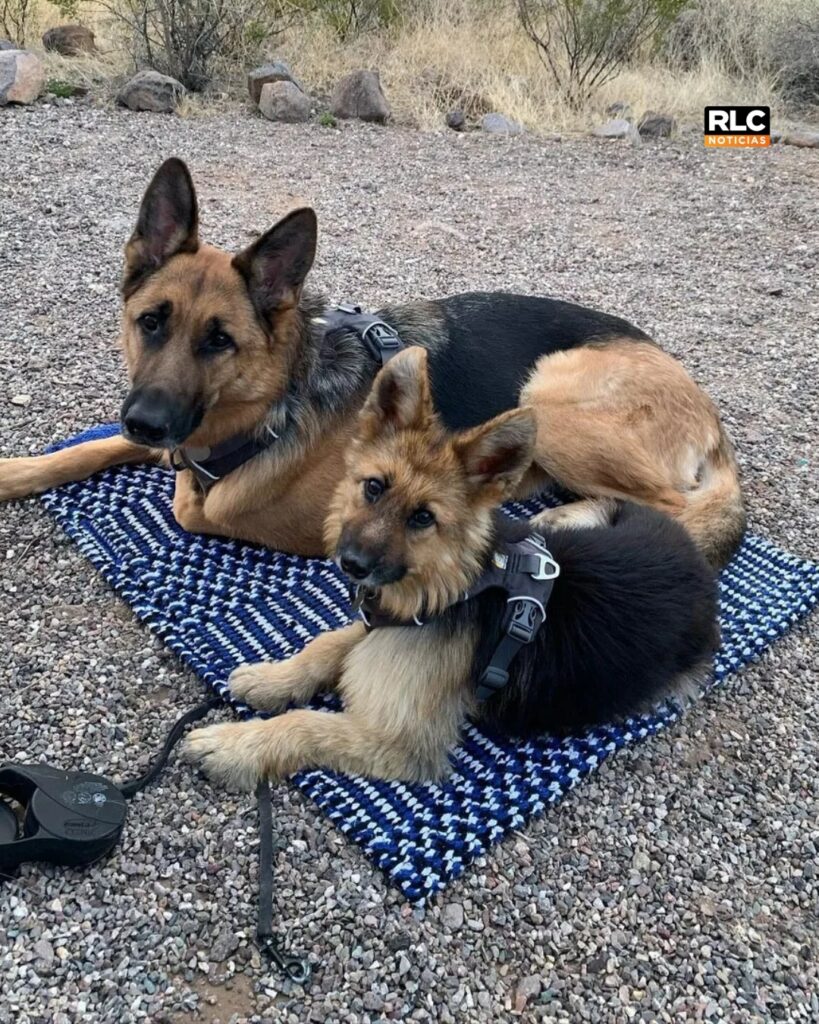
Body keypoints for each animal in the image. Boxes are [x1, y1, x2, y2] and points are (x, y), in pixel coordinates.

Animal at [0, 158, 744, 566]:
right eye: (150, 322)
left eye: (220, 342)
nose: (149, 422)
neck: (275, 402)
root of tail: (705, 408)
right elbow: (92, 448)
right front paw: (17, 471)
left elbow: (192, 504)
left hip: (553, 399)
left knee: (673, 507)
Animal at [182, 347, 719, 788]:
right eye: (373, 487)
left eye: (424, 517)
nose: (351, 564)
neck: (458, 583)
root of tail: (690, 549)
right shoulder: (385, 619)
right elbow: (327, 644)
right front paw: (274, 678)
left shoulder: (397, 743)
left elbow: (307, 723)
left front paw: (235, 744)